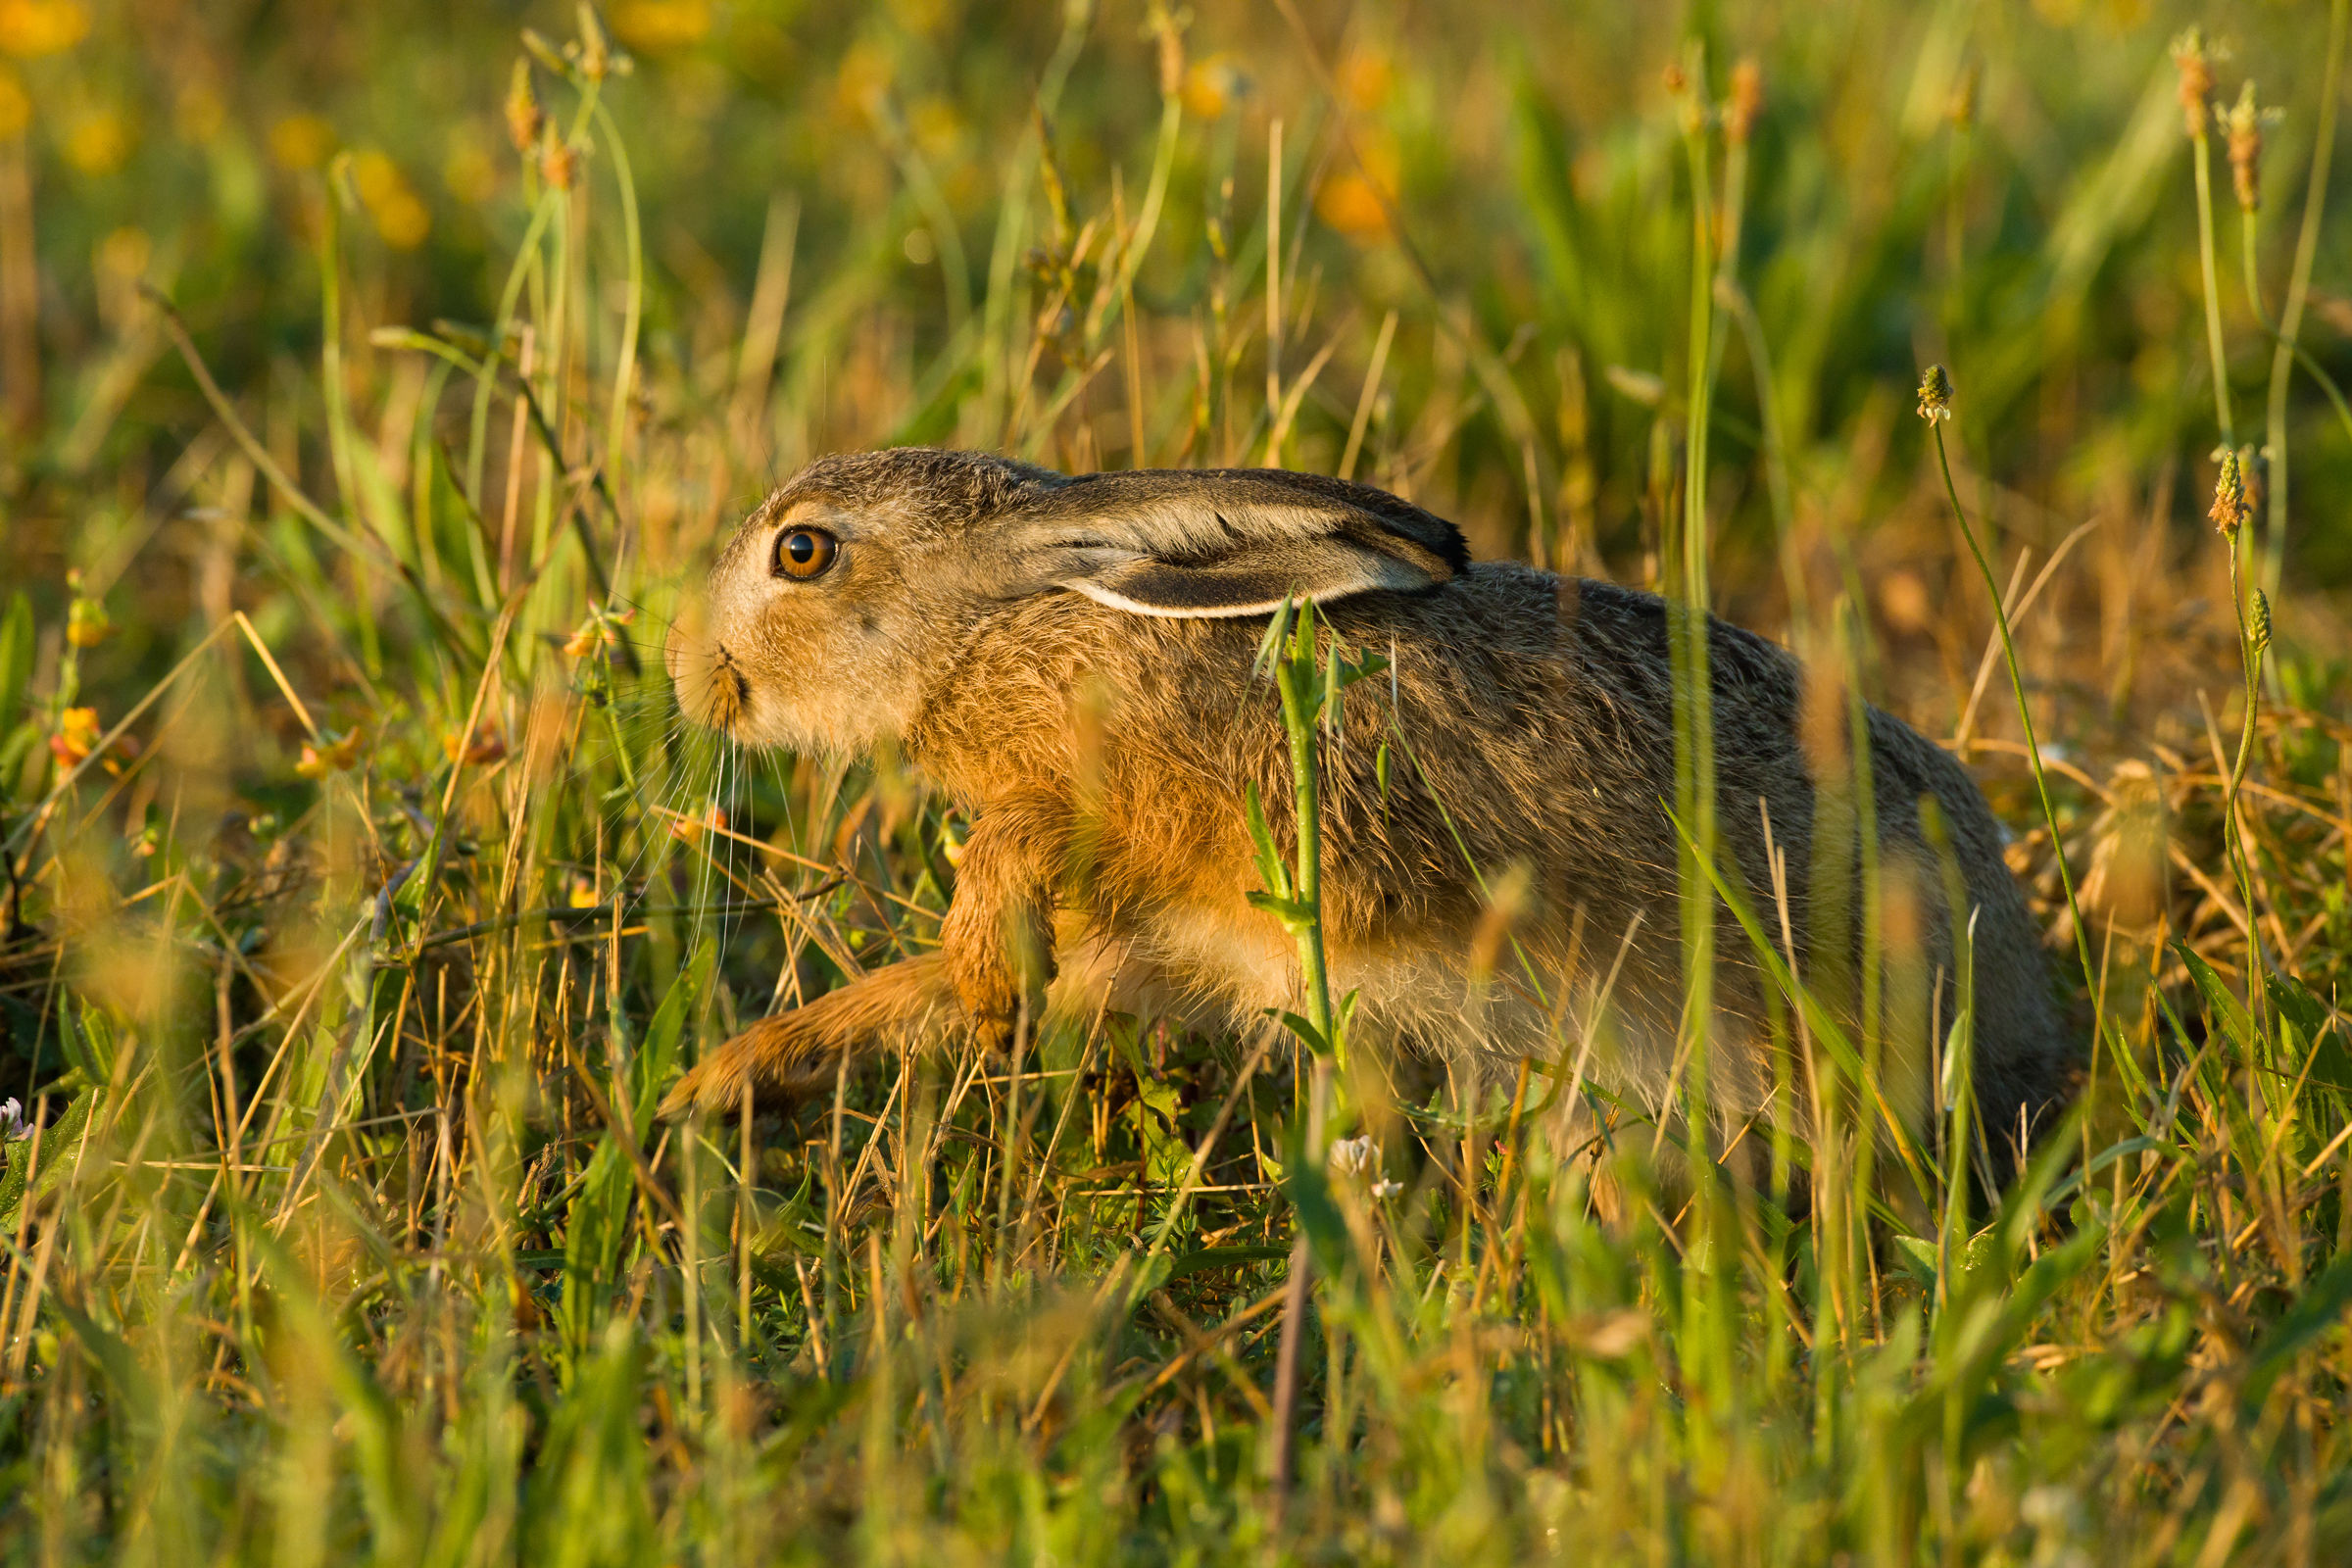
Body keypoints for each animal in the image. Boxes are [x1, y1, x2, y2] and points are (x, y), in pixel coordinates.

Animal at [657, 446, 2075, 1186]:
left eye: (802, 552)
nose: (688, 675)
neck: (1026, 632)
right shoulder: (1175, 942)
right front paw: (732, 1081)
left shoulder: (1291, 844)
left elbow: (1049, 835)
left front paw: (979, 941)